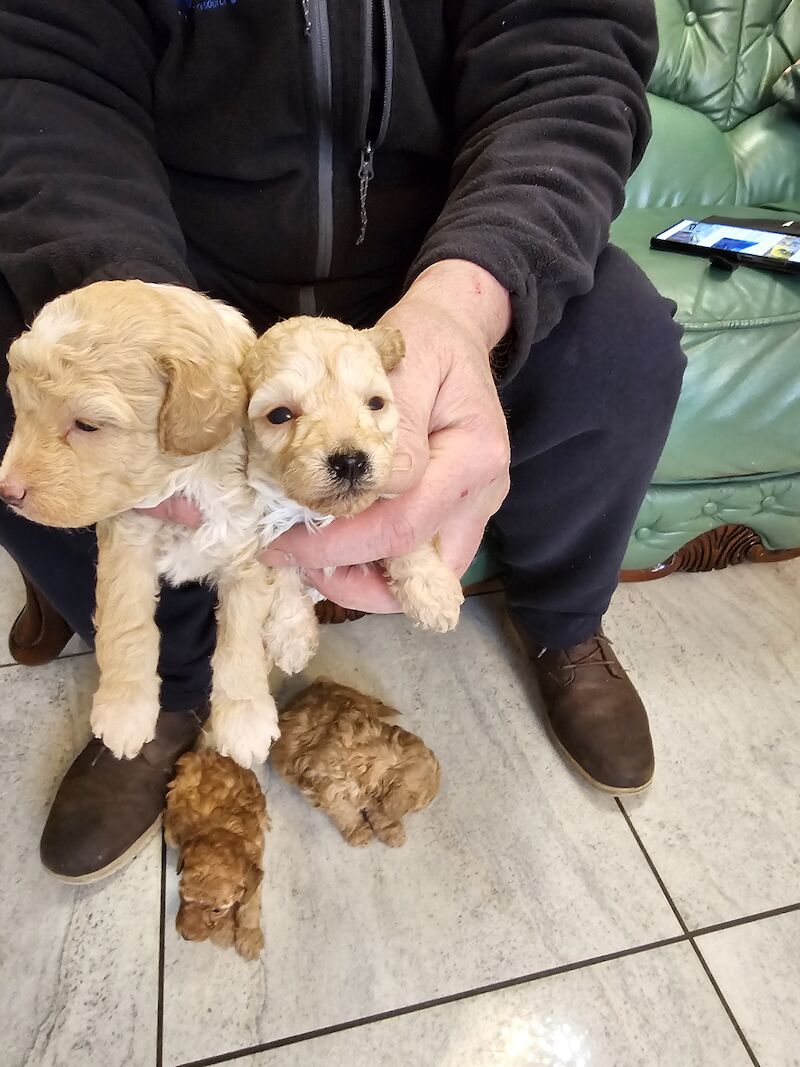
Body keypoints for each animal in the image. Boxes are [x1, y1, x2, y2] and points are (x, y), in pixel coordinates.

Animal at [0, 283, 285, 768]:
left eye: (87, 425)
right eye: (20, 407)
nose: (6, 492)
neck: (184, 480)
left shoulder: (249, 550)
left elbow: (242, 639)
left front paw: (244, 717)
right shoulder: (127, 536)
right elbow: (126, 621)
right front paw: (124, 710)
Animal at [165, 751, 269, 960]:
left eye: (216, 910)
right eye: (183, 896)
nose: (186, 936)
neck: (227, 829)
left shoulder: (257, 859)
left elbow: (251, 901)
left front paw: (249, 936)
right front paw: (224, 932)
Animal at [243, 311, 462, 670]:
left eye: (375, 403)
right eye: (279, 415)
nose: (349, 462)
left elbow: (405, 532)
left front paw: (432, 589)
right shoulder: (264, 518)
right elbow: (279, 569)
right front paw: (290, 635)